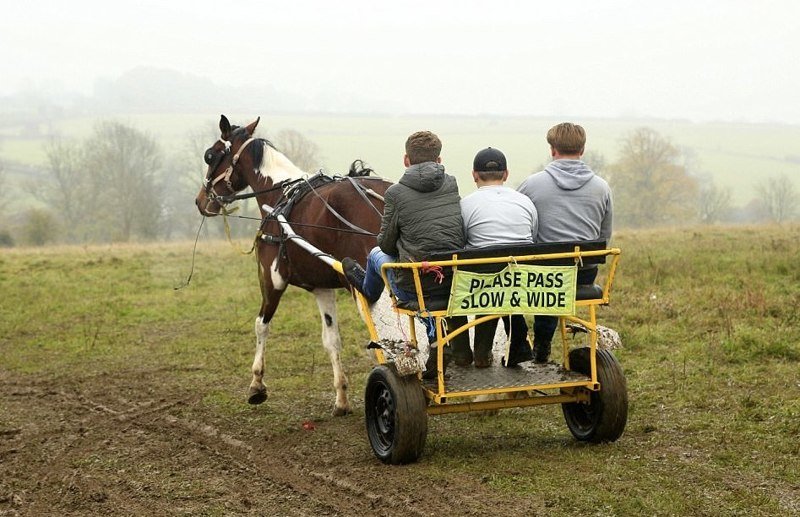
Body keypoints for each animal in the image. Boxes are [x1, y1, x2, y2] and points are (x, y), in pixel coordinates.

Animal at [195, 115, 392, 414]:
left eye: (211, 155)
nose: (200, 201)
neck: (279, 197)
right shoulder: (323, 288)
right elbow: (332, 340)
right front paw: (341, 398)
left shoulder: (271, 279)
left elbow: (260, 325)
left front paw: (256, 384)